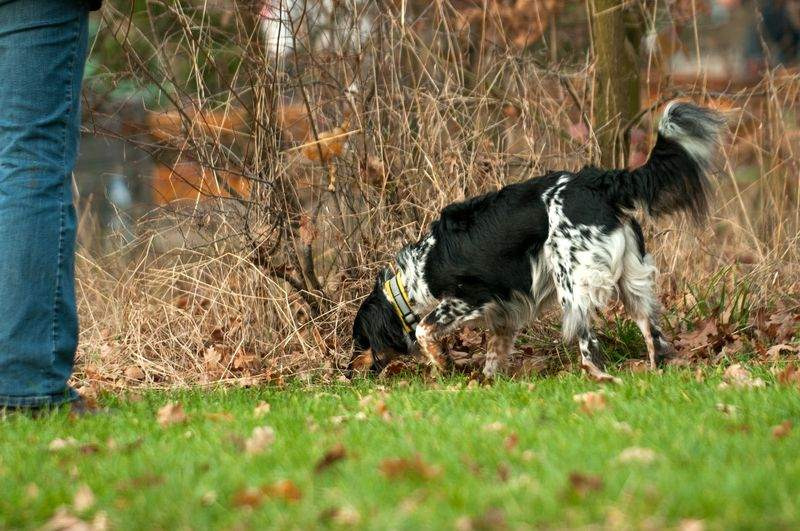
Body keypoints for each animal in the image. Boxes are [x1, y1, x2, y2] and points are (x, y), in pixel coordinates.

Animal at [350, 101, 724, 382]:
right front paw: (485, 383)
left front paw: (442, 365)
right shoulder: (505, 313)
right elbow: (494, 353)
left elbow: (425, 331)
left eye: (360, 341)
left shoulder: (471, 297)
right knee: (653, 334)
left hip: (573, 284)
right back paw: (653, 373)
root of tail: (597, 181)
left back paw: (599, 379)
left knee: (590, 345)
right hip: (633, 282)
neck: (419, 271)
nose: (347, 372)